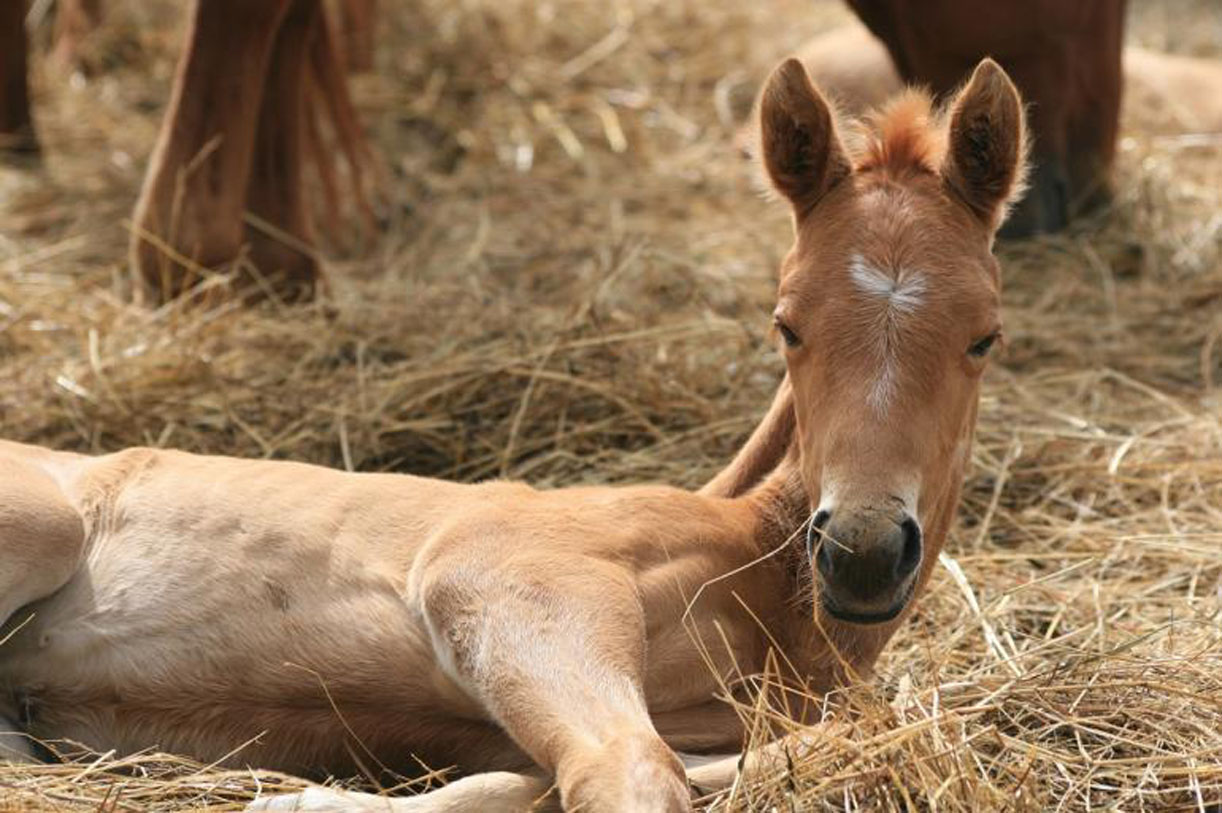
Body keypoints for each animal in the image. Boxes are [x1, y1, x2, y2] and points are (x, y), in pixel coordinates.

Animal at [0, 60, 1026, 806]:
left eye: (985, 335)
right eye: (787, 323)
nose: (862, 552)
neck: (757, 571)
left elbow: (540, 779)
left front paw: (299, 798)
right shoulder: (506, 579)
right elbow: (624, 770)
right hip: (42, 527)